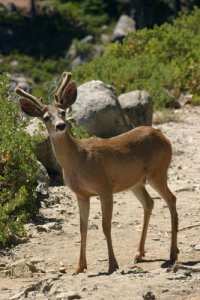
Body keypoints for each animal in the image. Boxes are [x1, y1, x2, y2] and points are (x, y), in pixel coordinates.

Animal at [15, 72, 178, 274]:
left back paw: (173, 254)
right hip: (135, 182)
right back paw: (139, 254)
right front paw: (80, 266)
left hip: (158, 171)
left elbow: (105, 225)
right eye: (46, 117)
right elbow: (82, 228)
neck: (78, 161)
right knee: (149, 203)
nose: (60, 126)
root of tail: (165, 138)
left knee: (171, 199)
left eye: (63, 112)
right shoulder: (81, 194)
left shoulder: (105, 187)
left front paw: (112, 264)